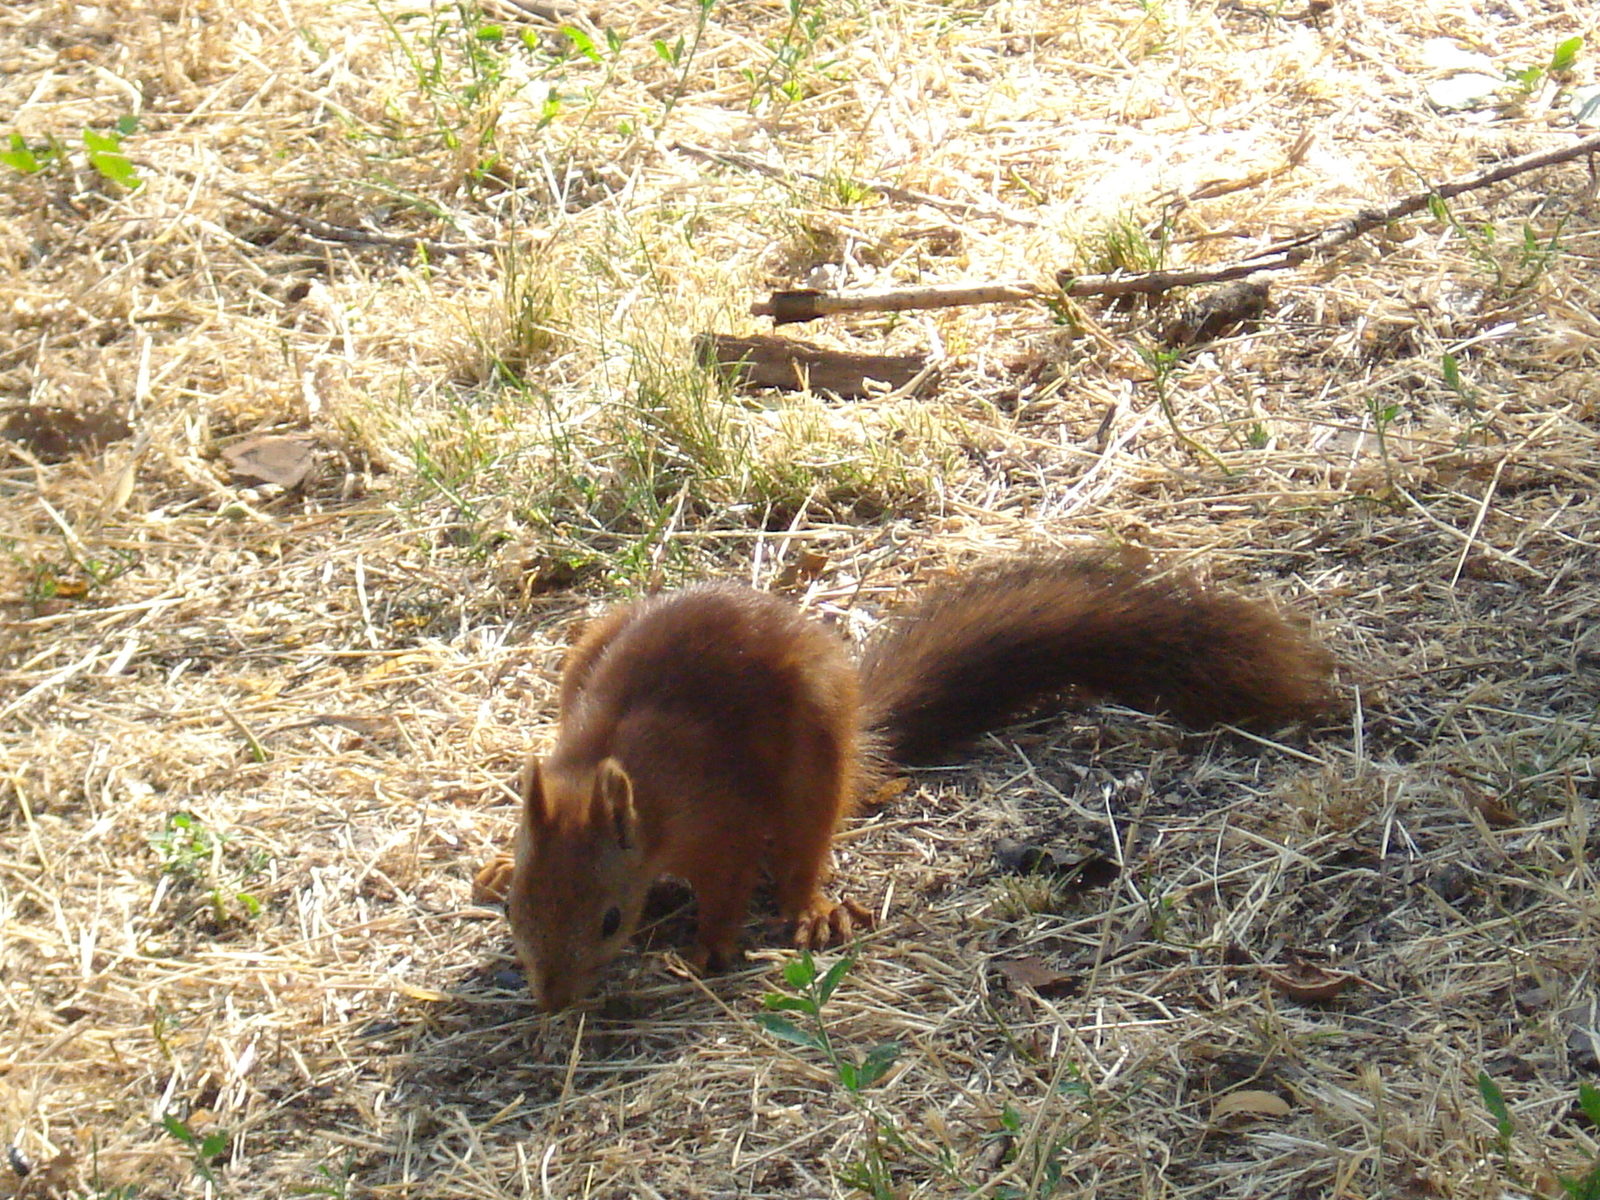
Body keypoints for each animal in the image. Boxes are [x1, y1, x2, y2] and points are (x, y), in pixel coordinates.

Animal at [473, 553, 1337, 1017]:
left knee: (804, 848)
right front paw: (499, 863)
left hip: (815, 757)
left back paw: (812, 911)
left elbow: (726, 885)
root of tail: (861, 724)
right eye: (519, 910)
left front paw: (712, 944)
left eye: (610, 920)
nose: (551, 1001)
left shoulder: (721, 820)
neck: (617, 776)